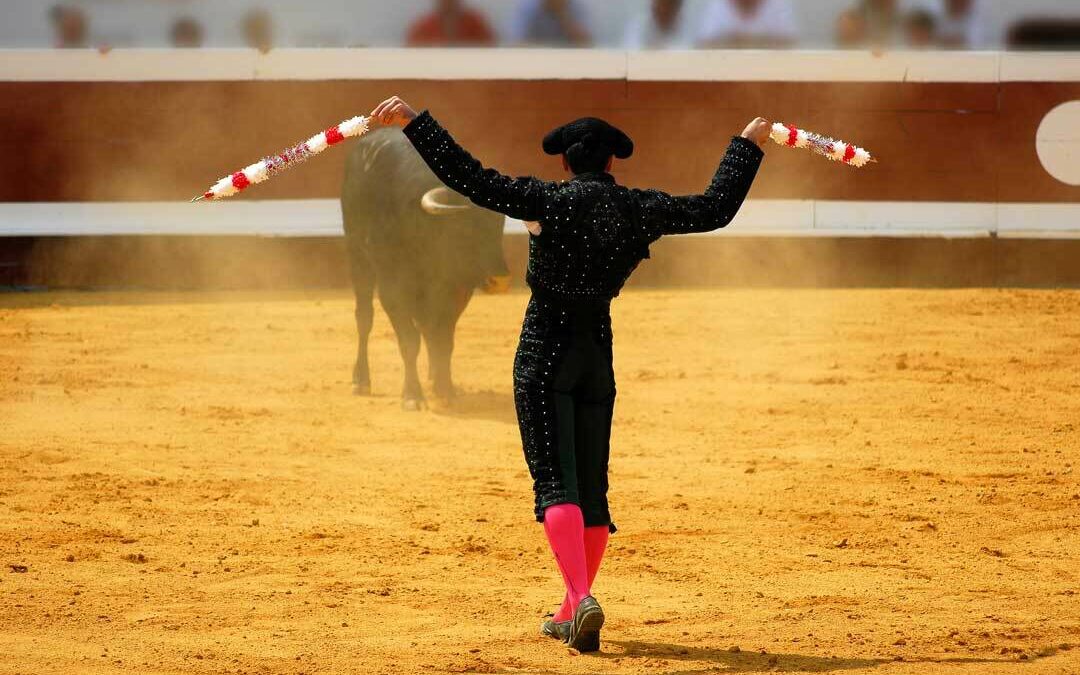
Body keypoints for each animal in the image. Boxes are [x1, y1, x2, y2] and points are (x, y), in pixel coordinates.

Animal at [341, 126, 509, 410]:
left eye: (499, 226)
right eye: (465, 227)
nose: (500, 280)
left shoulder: (457, 289)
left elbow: (443, 339)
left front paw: (445, 389)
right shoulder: (393, 288)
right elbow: (410, 340)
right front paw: (412, 396)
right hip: (357, 256)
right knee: (364, 317)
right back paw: (361, 380)